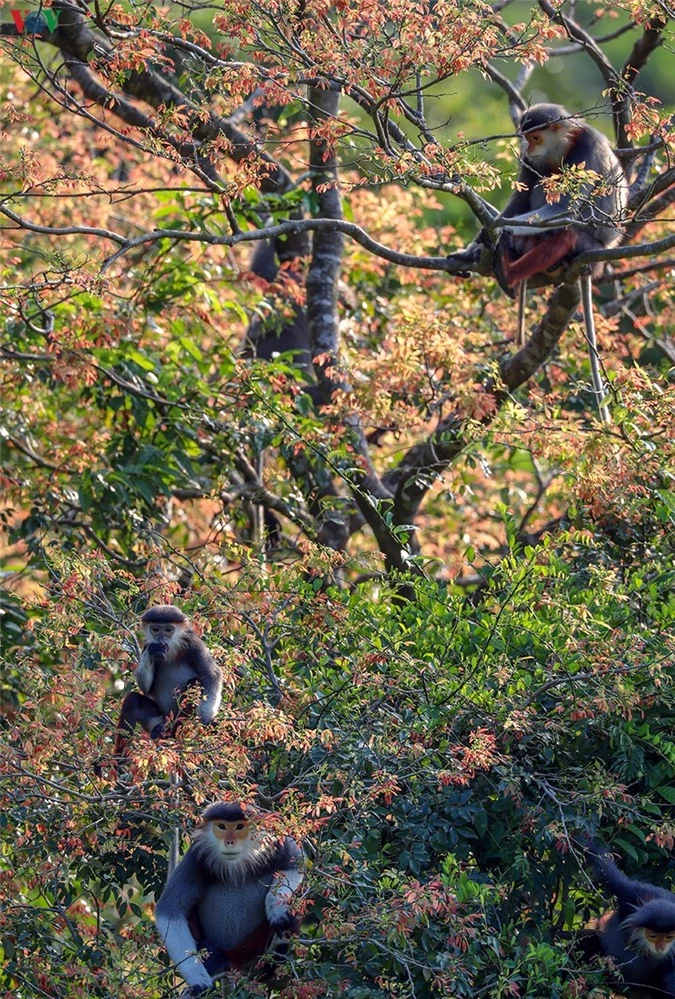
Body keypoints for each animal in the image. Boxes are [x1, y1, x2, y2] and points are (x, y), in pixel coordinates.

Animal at [112, 604, 223, 760]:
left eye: (168, 630)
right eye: (155, 629)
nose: (161, 639)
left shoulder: (193, 645)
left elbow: (212, 675)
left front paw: (207, 719)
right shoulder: (147, 645)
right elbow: (147, 688)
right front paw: (153, 652)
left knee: (196, 682)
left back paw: (172, 734)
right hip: (156, 718)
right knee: (133, 700)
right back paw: (118, 759)